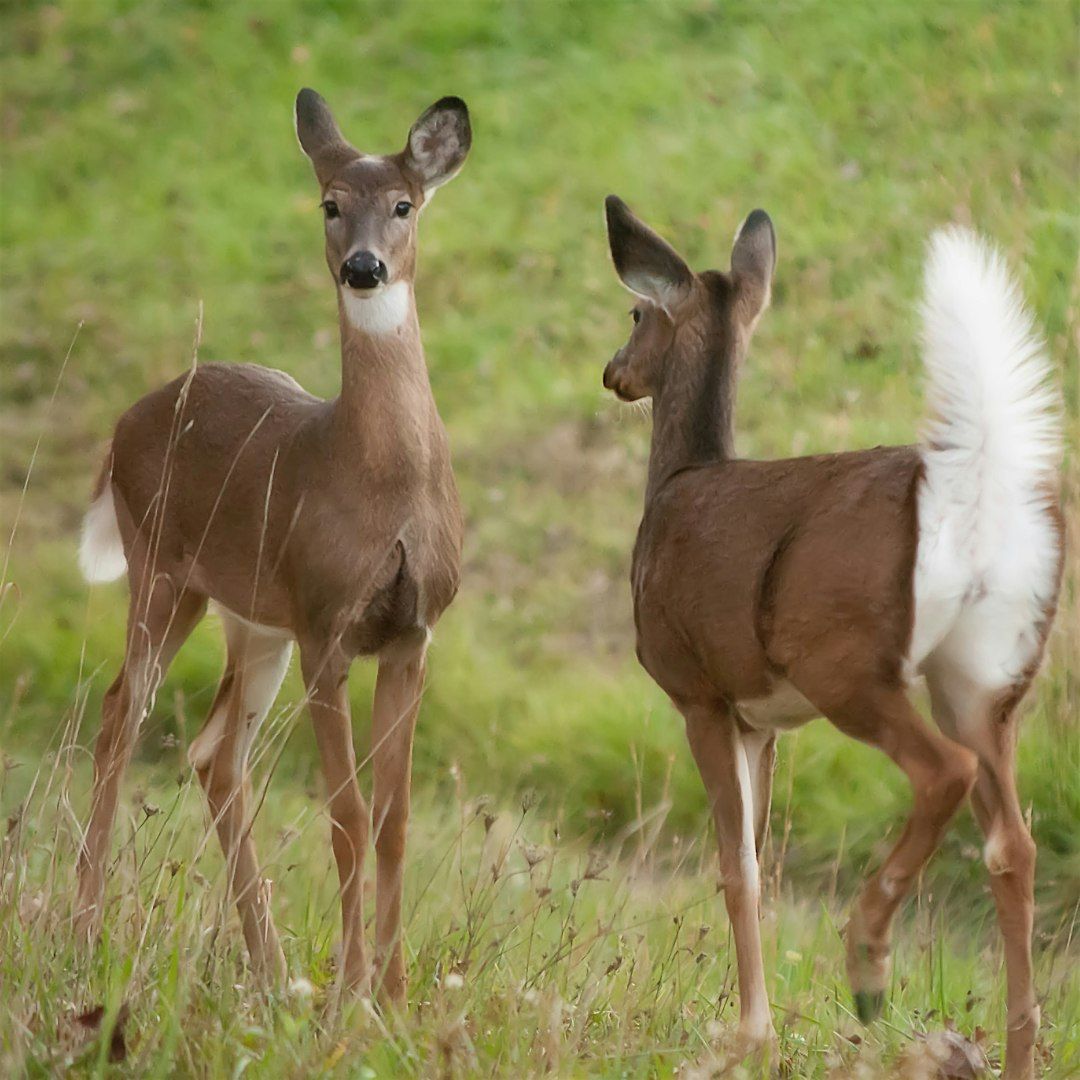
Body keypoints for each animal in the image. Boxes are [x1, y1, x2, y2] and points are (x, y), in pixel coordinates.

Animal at [71, 90, 468, 1002]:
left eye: (404, 204)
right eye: (330, 203)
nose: (364, 267)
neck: (383, 482)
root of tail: (126, 422)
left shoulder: (412, 632)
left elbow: (394, 820)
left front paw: (394, 996)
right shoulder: (327, 623)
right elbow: (347, 816)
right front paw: (353, 997)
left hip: (254, 620)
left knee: (217, 754)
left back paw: (272, 968)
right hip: (162, 570)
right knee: (120, 718)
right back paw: (86, 927)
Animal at [604, 196, 1067, 1080]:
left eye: (636, 312)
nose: (612, 372)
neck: (676, 481)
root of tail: (975, 500)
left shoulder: (700, 691)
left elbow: (739, 867)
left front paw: (749, 1035)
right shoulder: (763, 718)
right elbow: (757, 852)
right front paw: (752, 1024)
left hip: (848, 664)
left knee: (943, 773)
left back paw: (868, 961)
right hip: (985, 680)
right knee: (1013, 845)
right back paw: (1015, 1047)